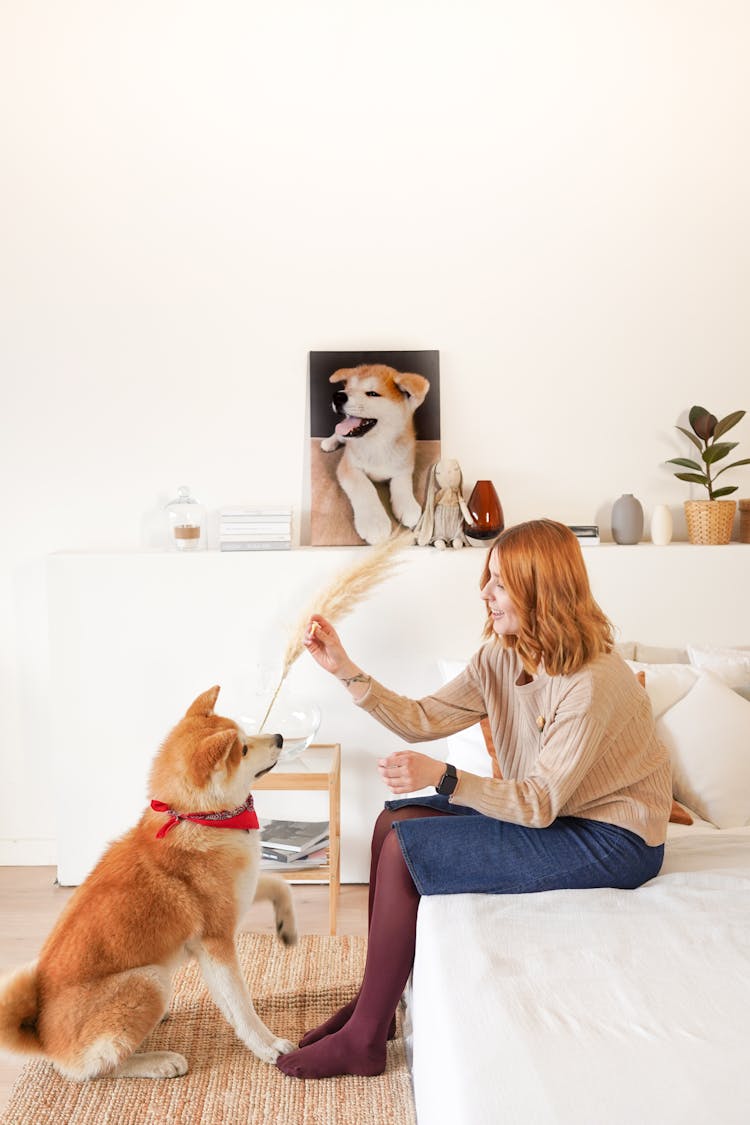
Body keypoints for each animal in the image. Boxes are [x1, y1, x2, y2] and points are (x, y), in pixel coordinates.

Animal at [0, 684, 299, 1080]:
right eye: (244, 749)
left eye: (245, 735)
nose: (279, 737)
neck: (202, 818)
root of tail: (43, 1039)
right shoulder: (216, 940)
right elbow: (241, 1004)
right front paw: (268, 1046)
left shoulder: (240, 895)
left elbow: (282, 885)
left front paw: (287, 928)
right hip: (149, 980)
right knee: (98, 1068)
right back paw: (159, 1061)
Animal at [319, 364, 431, 544]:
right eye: (348, 388)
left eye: (372, 393)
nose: (338, 395)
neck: (377, 444)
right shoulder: (349, 467)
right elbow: (365, 487)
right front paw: (374, 521)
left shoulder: (404, 465)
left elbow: (402, 484)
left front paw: (407, 505)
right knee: (338, 434)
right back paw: (329, 442)